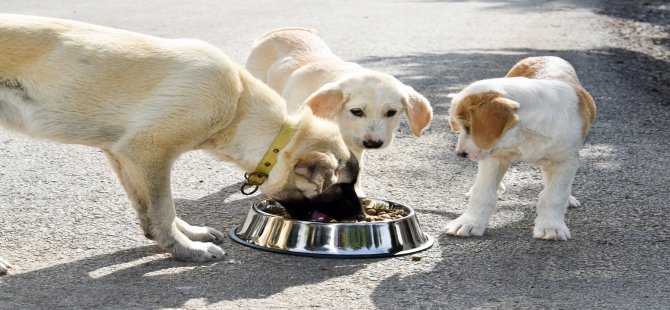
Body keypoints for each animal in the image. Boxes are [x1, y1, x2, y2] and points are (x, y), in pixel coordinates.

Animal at [0, 13, 364, 274]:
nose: (360, 216)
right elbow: (164, 208)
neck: (239, 105)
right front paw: (186, 251)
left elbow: (153, 211)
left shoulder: (124, 157)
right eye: (341, 187)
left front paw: (185, 236)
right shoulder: (148, 153)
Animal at [247, 27, 436, 196]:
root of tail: (281, 30)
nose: (373, 143)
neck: (341, 122)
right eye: (357, 111)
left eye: (391, 112)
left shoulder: (354, 145)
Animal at [446, 56, 600, 240]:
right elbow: (483, 193)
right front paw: (470, 222)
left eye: (469, 127)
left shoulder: (565, 161)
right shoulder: (495, 157)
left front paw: (551, 226)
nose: (460, 154)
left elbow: (554, 196)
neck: (526, 133)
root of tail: (545, 56)